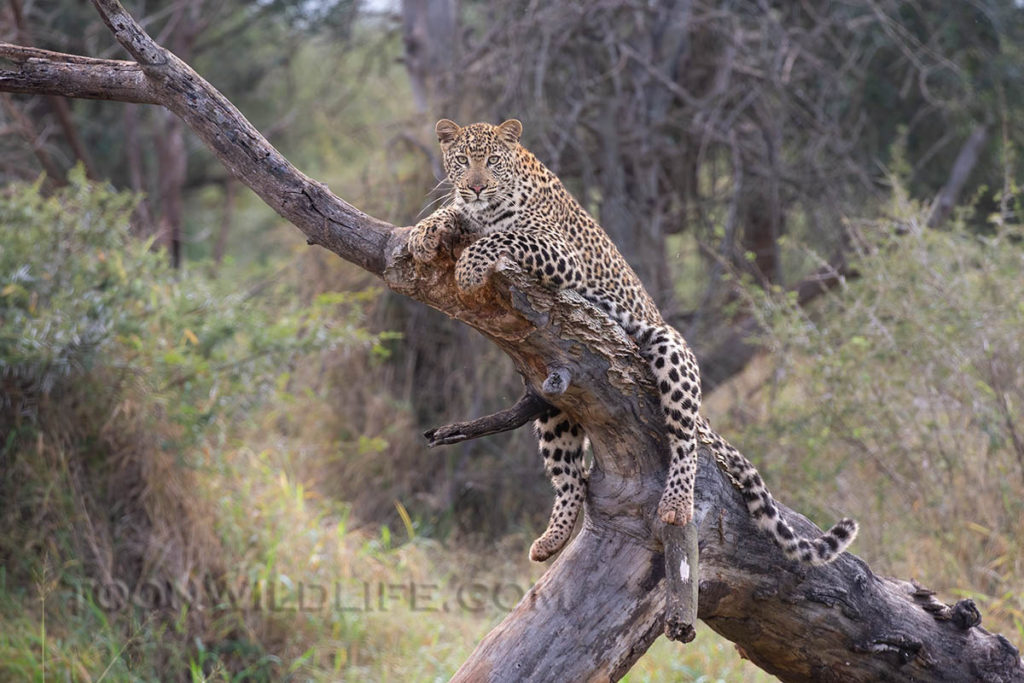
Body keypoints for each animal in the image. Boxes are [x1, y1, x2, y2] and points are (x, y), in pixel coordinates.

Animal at [409, 118, 858, 566]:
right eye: (462, 160)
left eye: (492, 161)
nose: (476, 186)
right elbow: (451, 212)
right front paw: (421, 233)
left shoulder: (559, 253)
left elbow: (502, 238)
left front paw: (467, 268)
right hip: (553, 390)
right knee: (570, 474)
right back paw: (552, 539)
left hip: (668, 347)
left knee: (685, 440)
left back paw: (676, 503)